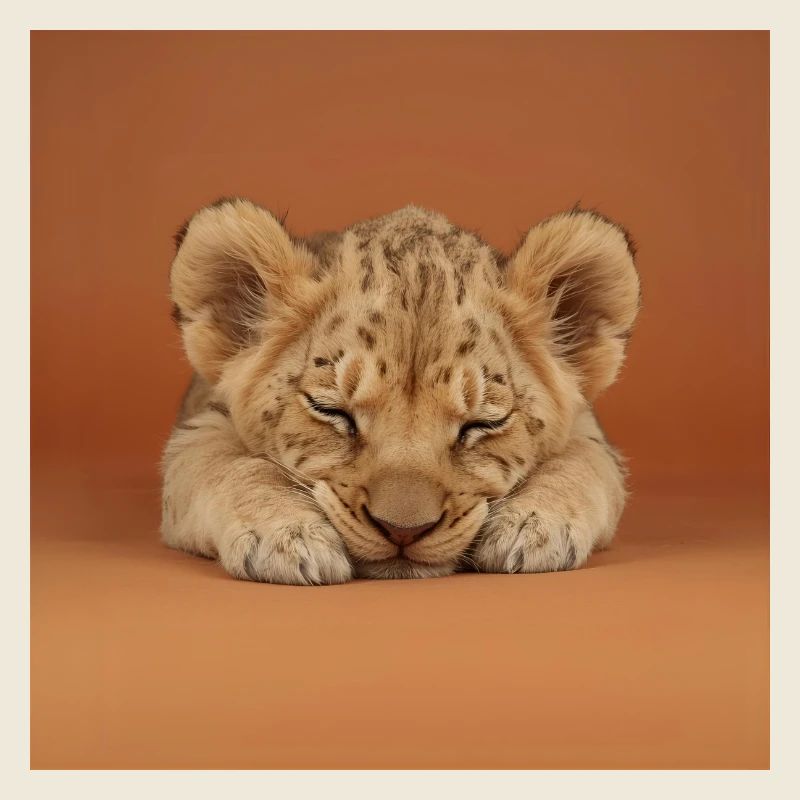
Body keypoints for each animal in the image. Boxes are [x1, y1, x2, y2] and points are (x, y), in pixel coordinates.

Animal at [161, 198, 640, 584]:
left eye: (482, 424)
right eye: (331, 411)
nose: (403, 531)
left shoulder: (588, 431)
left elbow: (578, 464)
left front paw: (534, 526)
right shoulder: (199, 428)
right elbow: (231, 467)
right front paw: (284, 536)